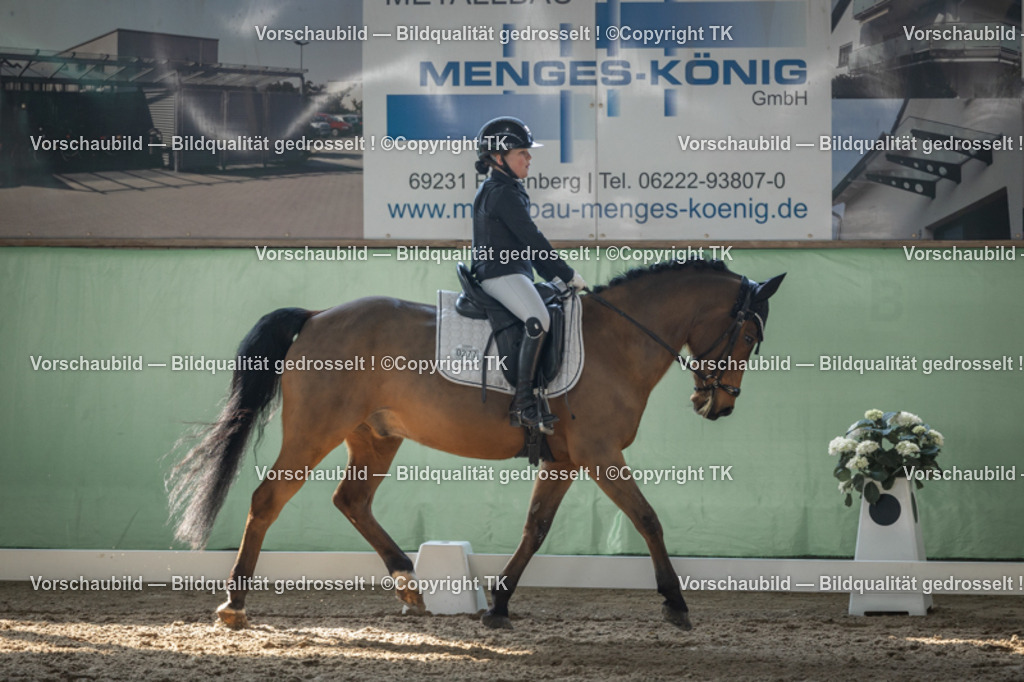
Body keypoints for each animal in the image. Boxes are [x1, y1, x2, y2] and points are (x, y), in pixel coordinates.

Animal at [167, 258, 785, 631]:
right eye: (749, 336)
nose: (718, 405)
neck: (618, 341)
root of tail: (317, 317)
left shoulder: (564, 461)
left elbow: (535, 529)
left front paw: (500, 604)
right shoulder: (600, 455)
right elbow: (649, 519)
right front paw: (676, 604)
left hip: (375, 437)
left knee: (352, 501)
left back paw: (410, 587)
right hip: (313, 431)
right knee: (267, 501)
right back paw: (235, 605)